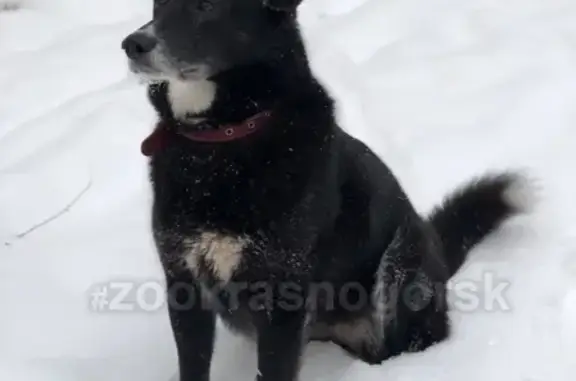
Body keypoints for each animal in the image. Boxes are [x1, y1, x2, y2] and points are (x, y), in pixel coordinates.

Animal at [121, 1, 532, 378]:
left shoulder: (282, 297)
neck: (220, 141)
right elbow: (192, 364)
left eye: (206, 6)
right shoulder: (183, 282)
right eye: (158, 5)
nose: (131, 44)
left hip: (403, 260)